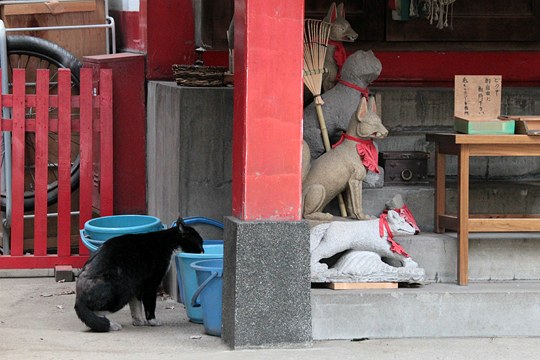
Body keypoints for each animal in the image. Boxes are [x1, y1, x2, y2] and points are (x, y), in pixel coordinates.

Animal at [75, 217, 204, 332]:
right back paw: (111, 325)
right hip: (122, 292)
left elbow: (136, 305)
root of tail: (79, 297)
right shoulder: (151, 283)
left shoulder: (137, 284)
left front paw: (138, 321)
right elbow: (150, 305)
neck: (168, 242)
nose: (203, 251)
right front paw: (152, 321)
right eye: (199, 243)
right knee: (94, 312)